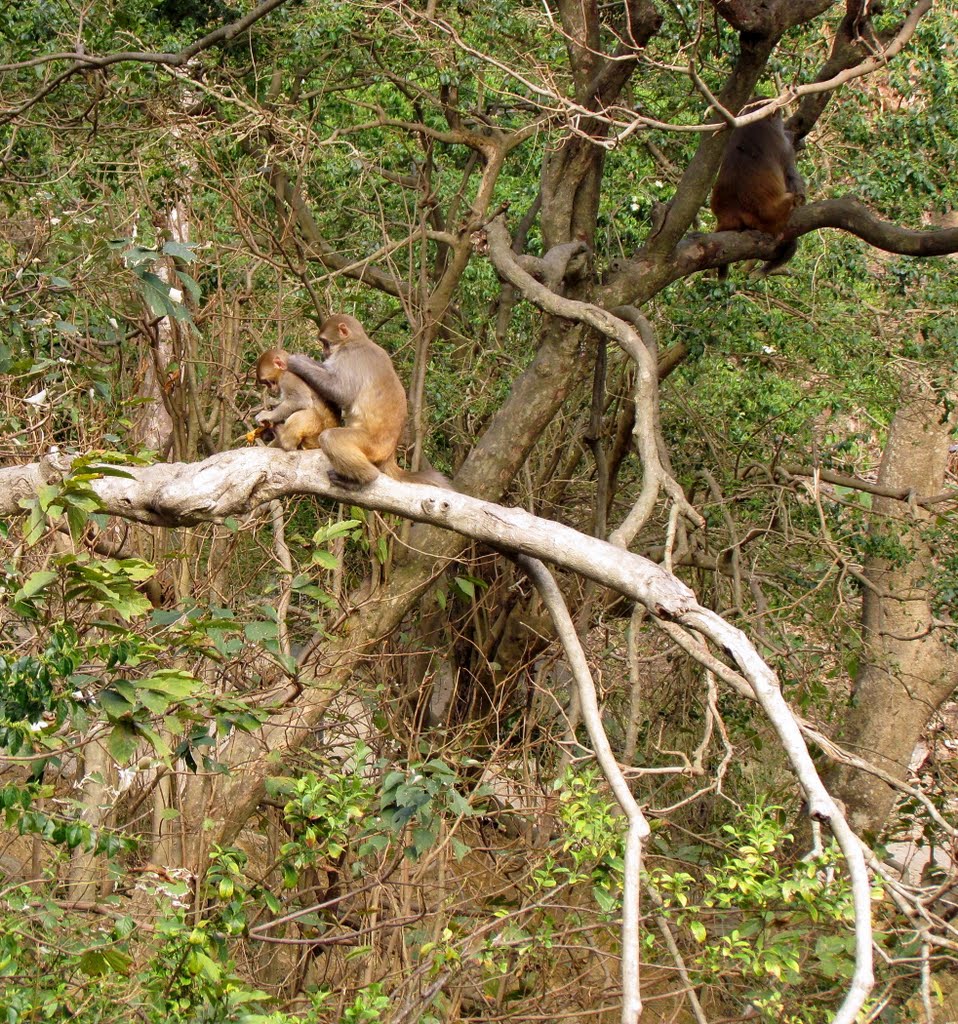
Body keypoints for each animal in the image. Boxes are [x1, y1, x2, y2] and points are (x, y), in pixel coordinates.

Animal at [286, 313, 450, 489]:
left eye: (325, 342)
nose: (324, 352)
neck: (355, 340)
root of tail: (390, 454)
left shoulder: (348, 356)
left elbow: (341, 392)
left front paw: (297, 363)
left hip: (371, 445)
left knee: (330, 438)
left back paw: (364, 478)